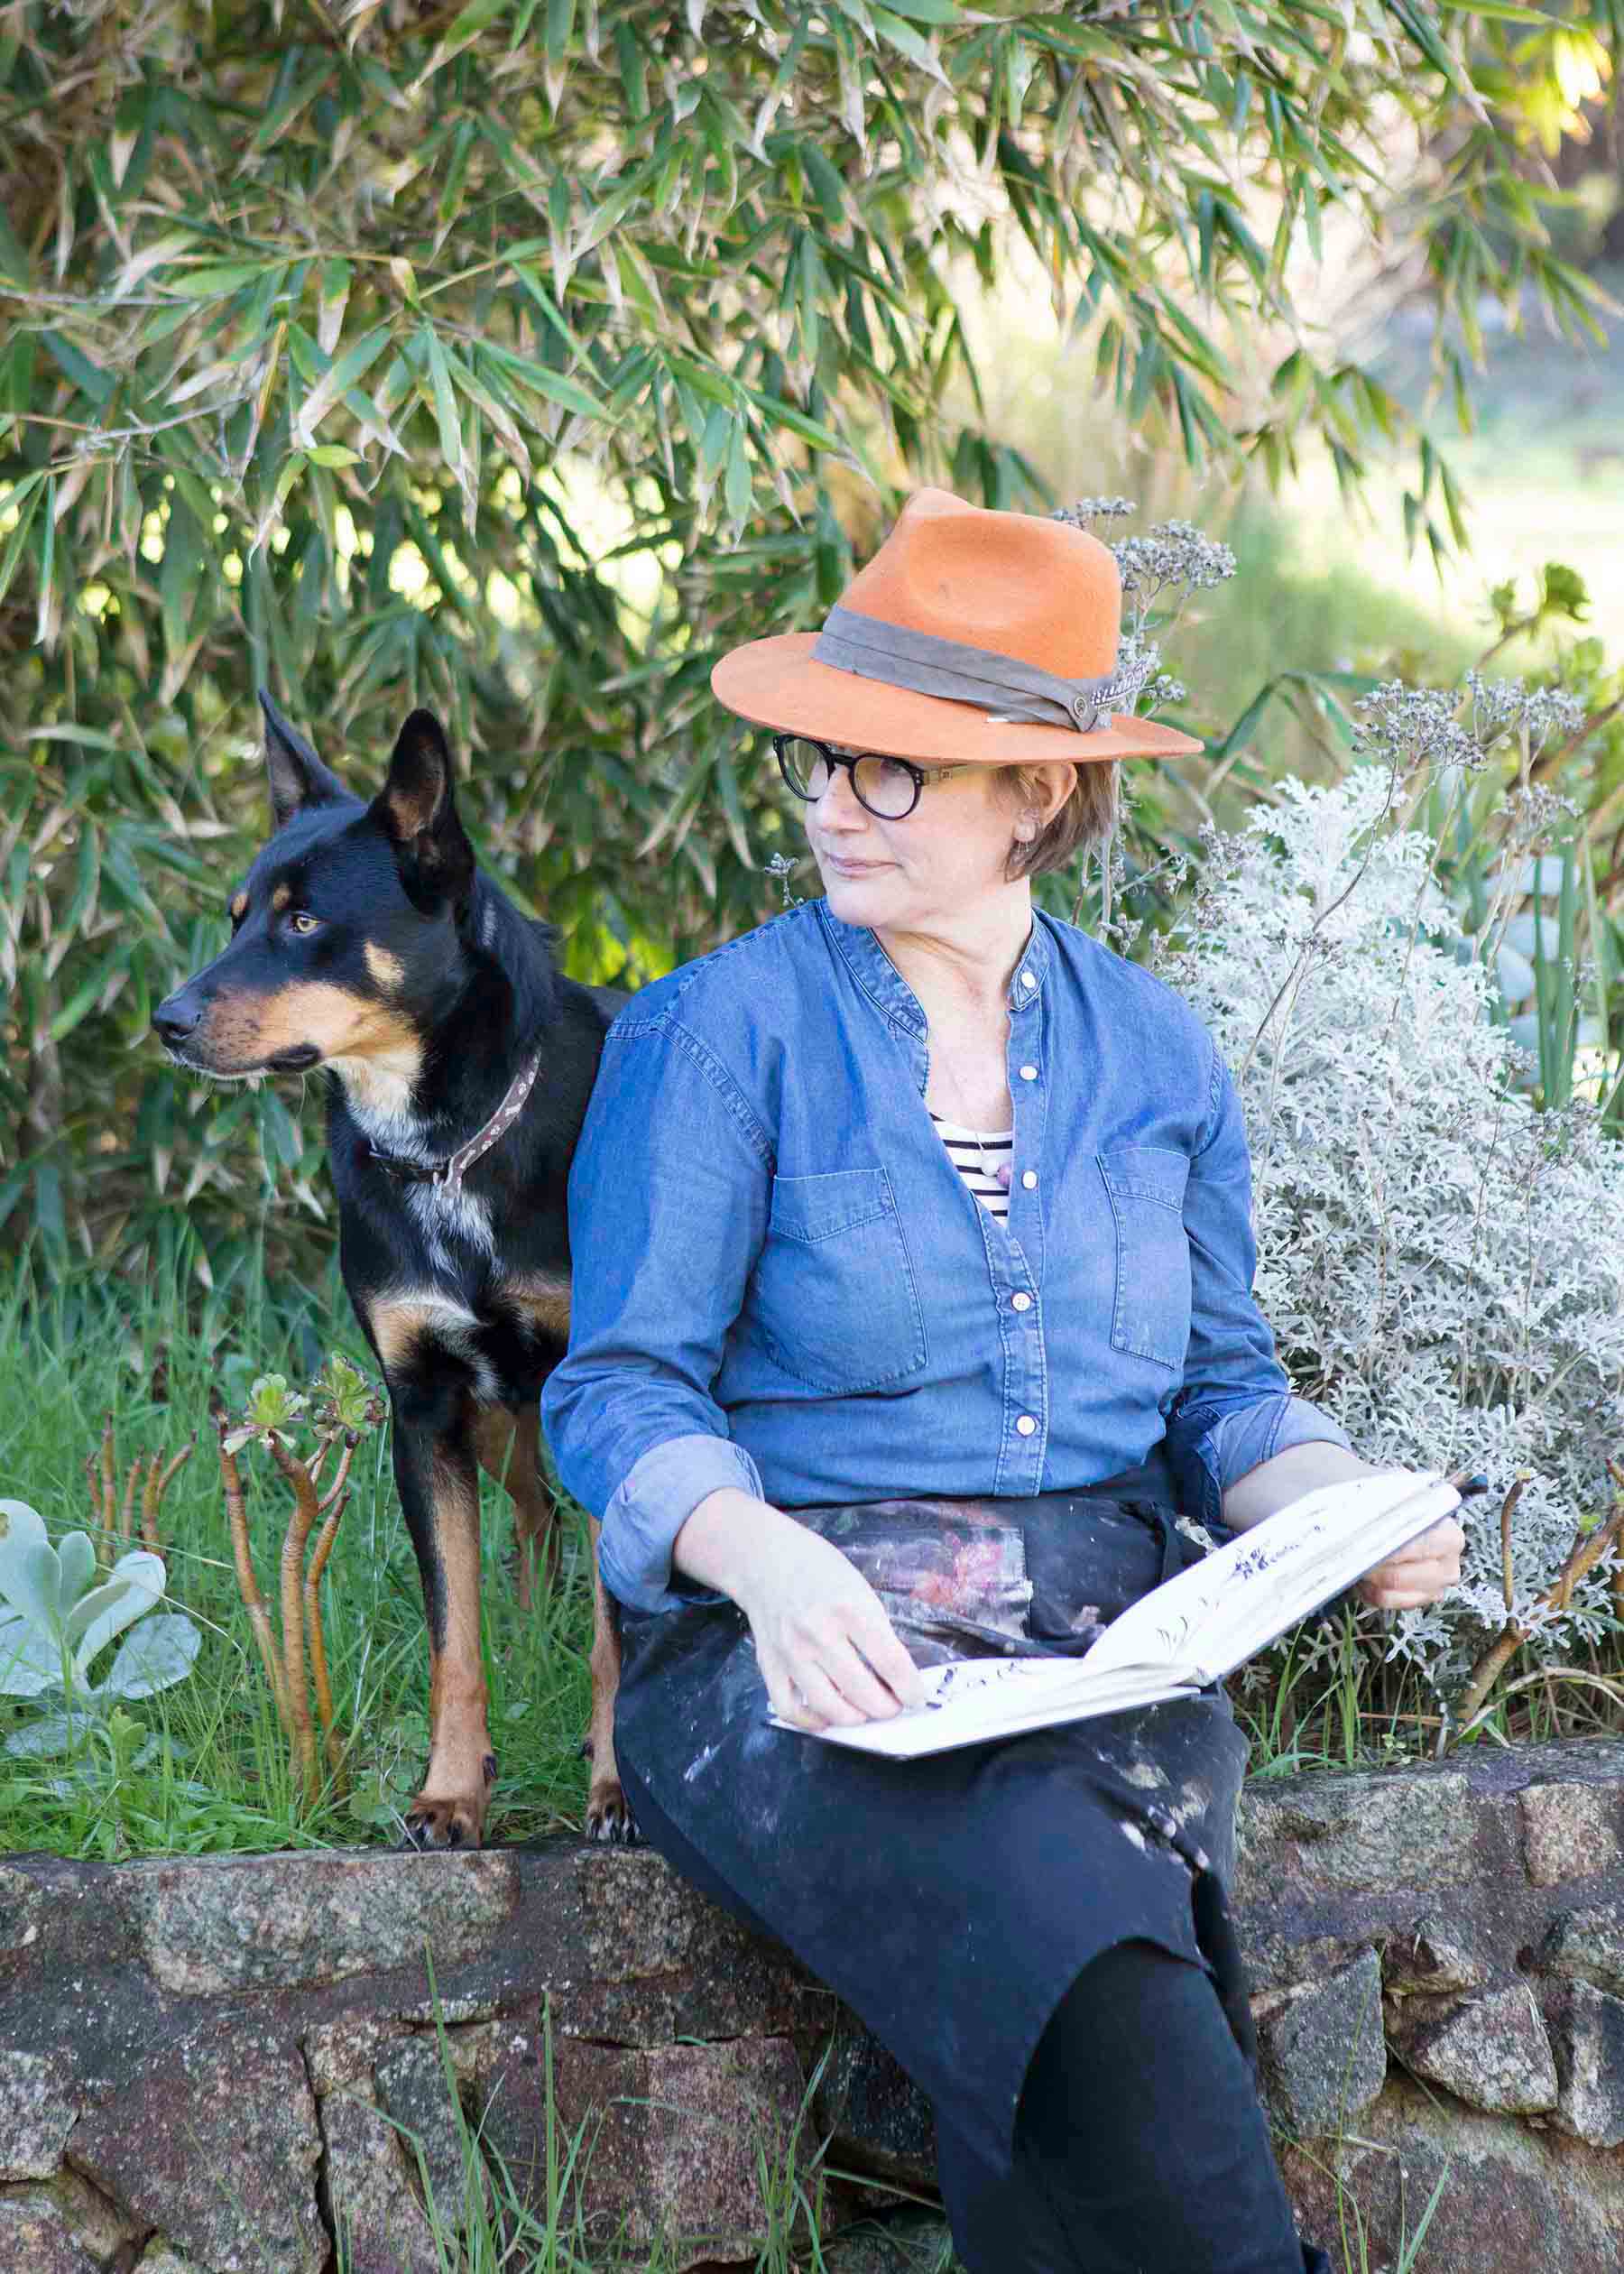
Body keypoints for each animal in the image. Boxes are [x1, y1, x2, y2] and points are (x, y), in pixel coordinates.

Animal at [156, 696, 627, 1846]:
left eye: (302, 925)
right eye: (237, 916)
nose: (166, 1022)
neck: (451, 1143)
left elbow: (617, 1634)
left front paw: (614, 1785)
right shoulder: (424, 1409)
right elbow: (454, 1636)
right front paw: (452, 1793)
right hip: (498, 1423)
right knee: (537, 1522)